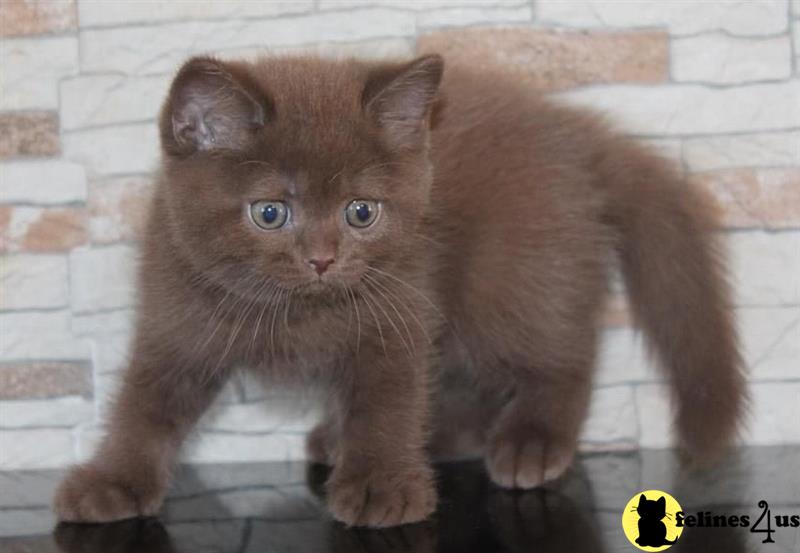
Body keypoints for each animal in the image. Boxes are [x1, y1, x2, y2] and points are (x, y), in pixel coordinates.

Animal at [53, 52, 748, 528]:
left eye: (362, 212)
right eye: (269, 212)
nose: (322, 258)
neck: (299, 309)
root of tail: (582, 136)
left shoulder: (399, 307)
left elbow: (388, 401)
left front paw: (380, 486)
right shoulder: (178, 310)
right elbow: (147, 402)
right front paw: (112, 481)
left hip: (509, 274)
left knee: (558, 356)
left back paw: (533, 440)